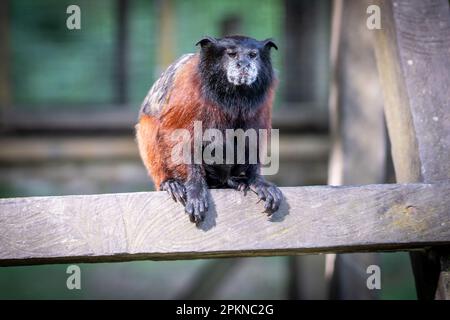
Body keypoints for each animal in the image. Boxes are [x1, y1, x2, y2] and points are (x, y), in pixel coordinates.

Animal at [135, 35, 284, 224]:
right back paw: (170, 182)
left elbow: (253, 136)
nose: (243, 64)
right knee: (149, 125)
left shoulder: (262, 100)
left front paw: (256, 180)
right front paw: (195, 187)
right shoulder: (187, 89)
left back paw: (231, 181)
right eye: (232, 55)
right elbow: (176, 133)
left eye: (252, 55)